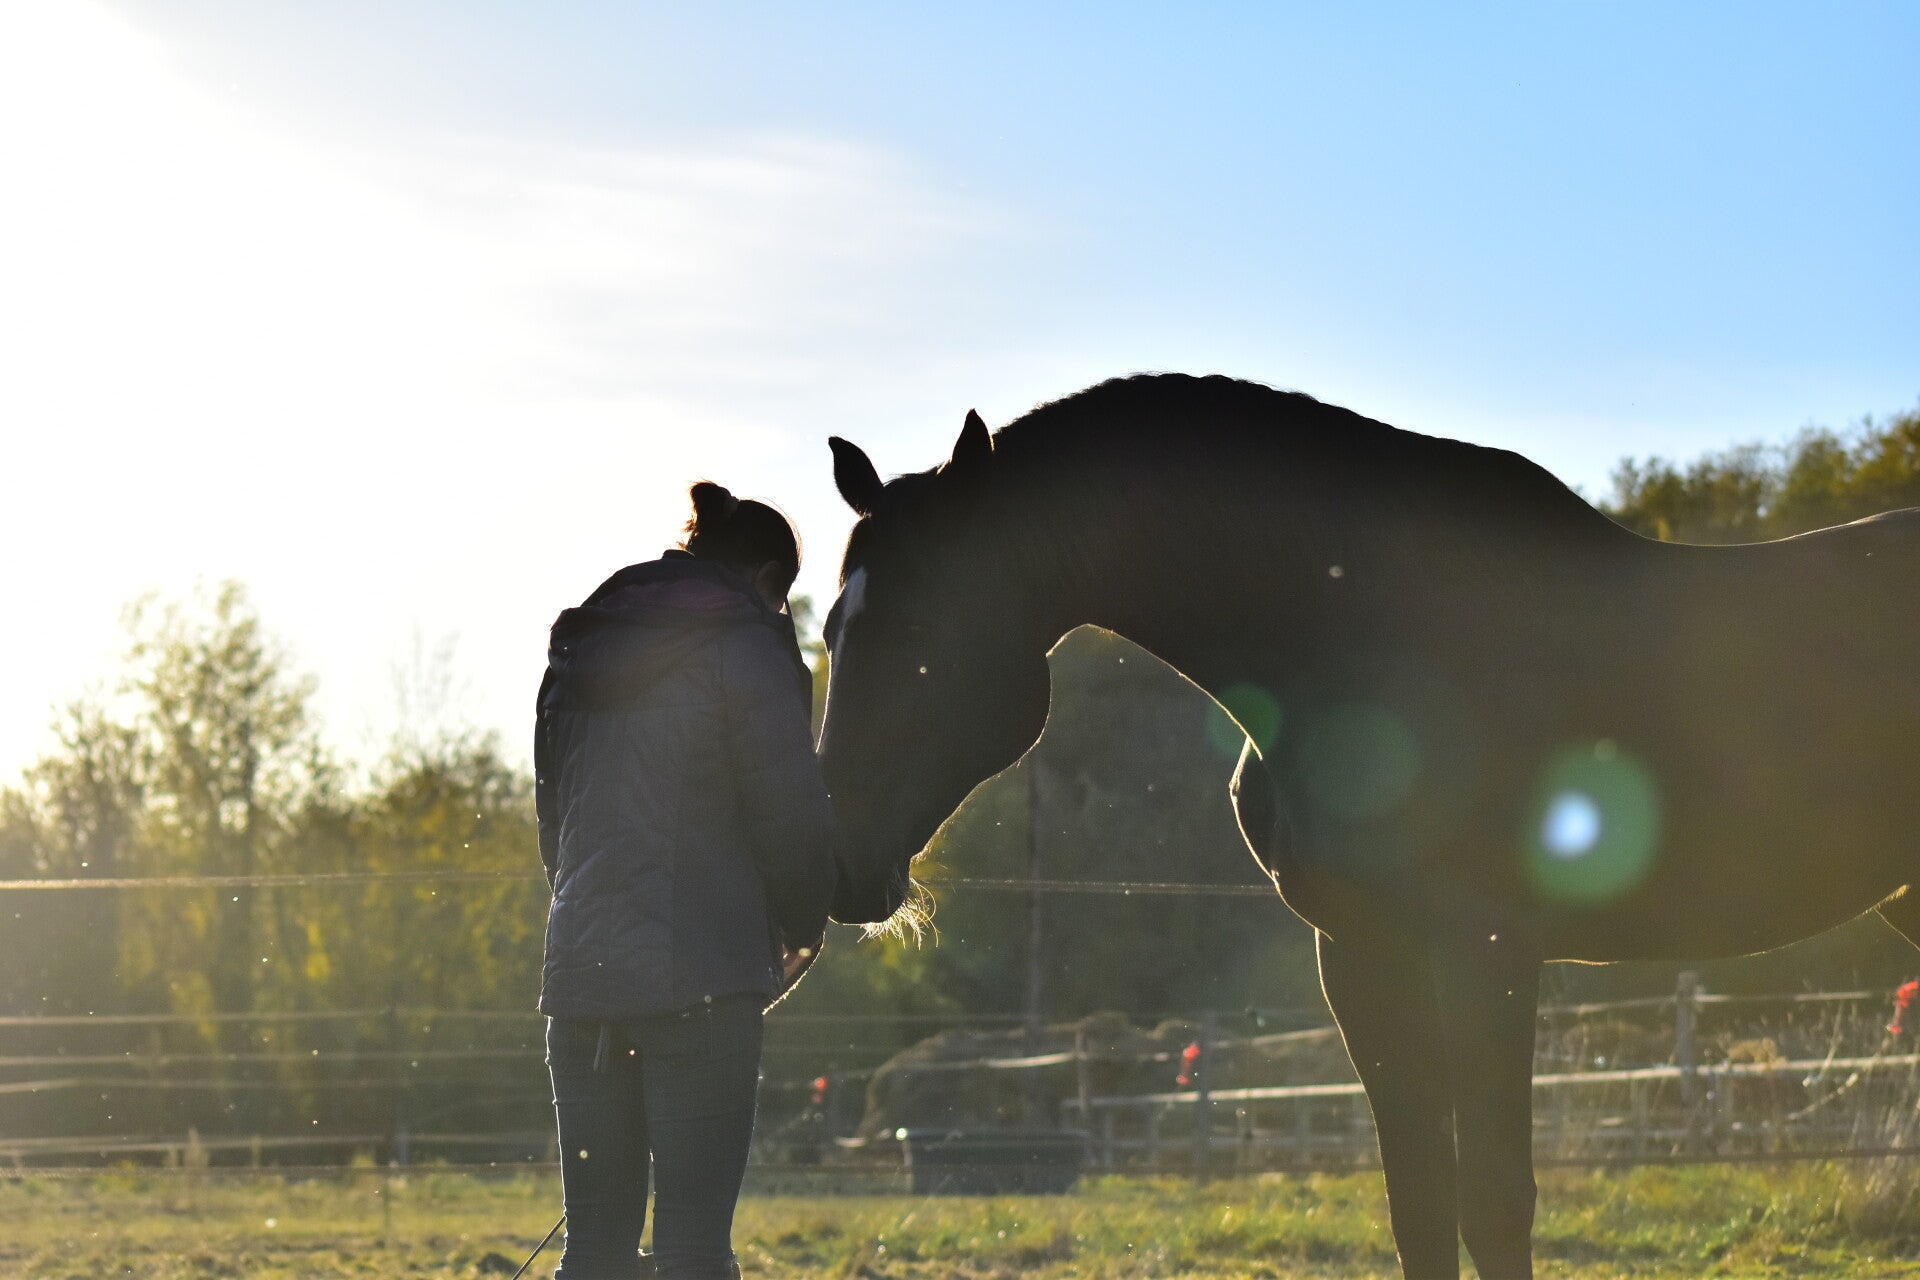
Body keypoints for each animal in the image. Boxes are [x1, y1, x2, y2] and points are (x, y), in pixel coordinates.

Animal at [816, 373, 1920, 1279]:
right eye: (830, 626)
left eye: (917, 629)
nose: (841, 863)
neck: (1358, 635)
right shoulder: (1360, 953)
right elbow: (1419, 1203)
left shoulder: (1487, 950)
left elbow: (1494, 1201)